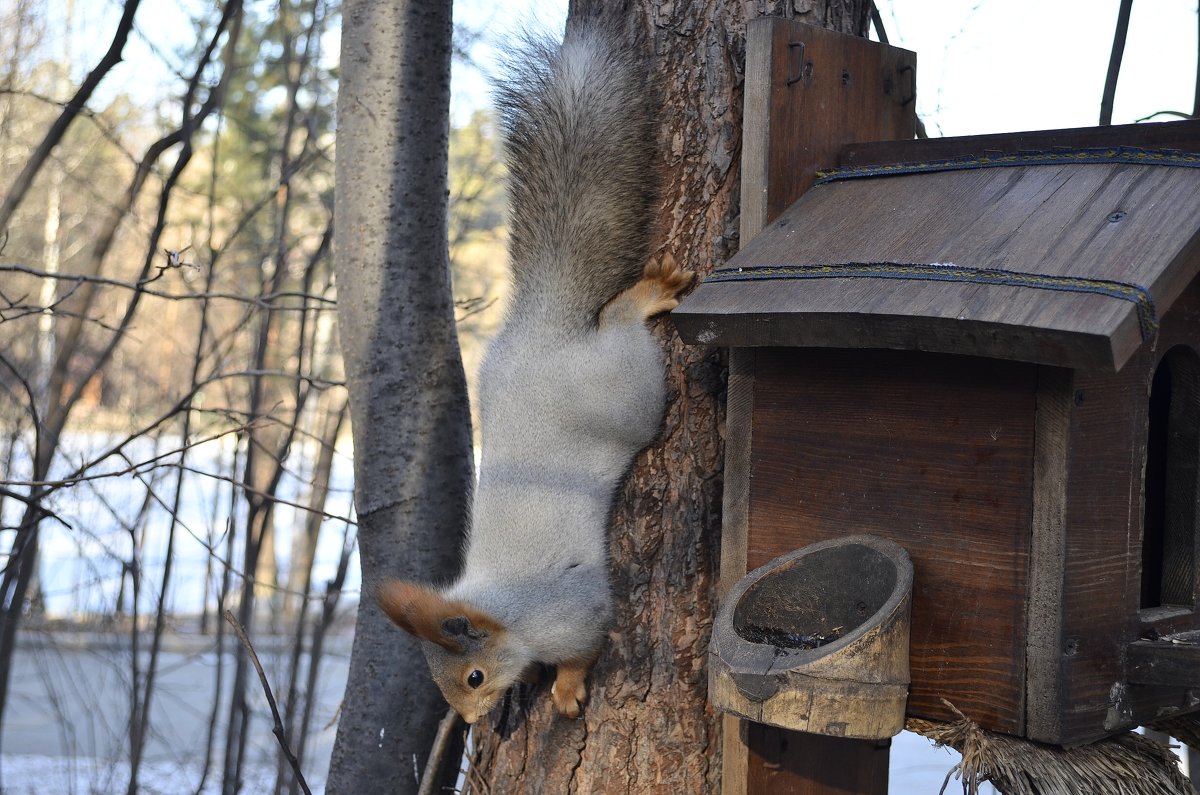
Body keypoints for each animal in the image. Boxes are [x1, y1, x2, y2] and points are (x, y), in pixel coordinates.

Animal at [379, 21, 691, 725]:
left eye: (471, 677)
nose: (471, 722)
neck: (509, 613)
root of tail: (543, 328)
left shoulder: (574, 613)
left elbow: (586, 647)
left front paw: (567, 690)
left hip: (628, 391)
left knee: (624, 331)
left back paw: (644, 297)